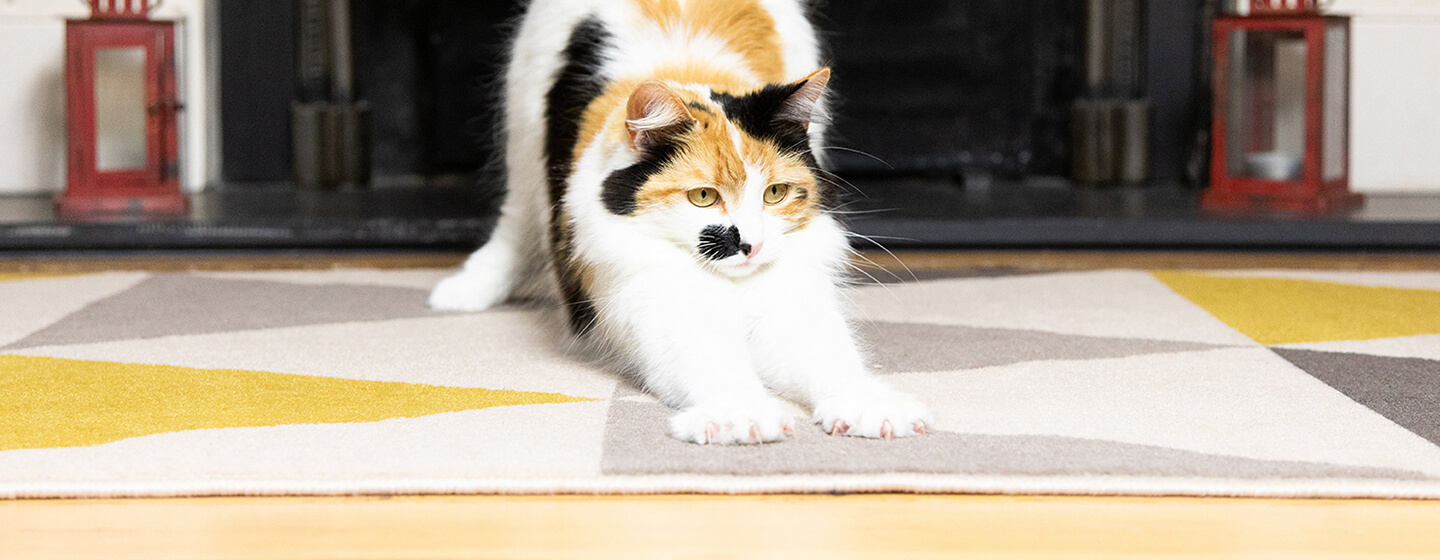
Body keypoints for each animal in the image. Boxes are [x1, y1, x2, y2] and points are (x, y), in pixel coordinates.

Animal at [426, 0, 933, 446]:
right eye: (703, 197)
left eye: (774, 193)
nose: (751, 246)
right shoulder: (662, 302)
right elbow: (711, 362)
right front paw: (740, 414)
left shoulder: (789, 299)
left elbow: (830, 358)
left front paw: (870, 406)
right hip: (523, 121)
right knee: (518, 217)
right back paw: (468, 290)